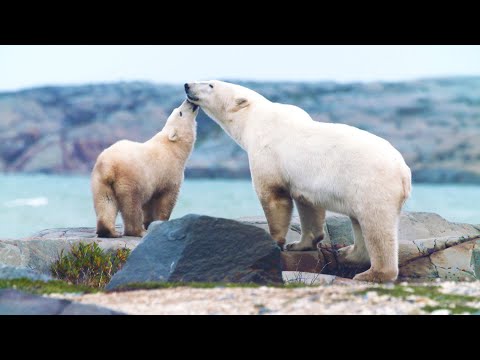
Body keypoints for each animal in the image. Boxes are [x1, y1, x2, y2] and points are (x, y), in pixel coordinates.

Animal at [91, 100, 198, 238]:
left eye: (176, 110)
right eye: (180, 112)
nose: (189, 101)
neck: (172, 147)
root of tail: (109, 166)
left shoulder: (153, 181)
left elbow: (149, 203)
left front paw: (150, 223)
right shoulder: (169, 172)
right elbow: (166, 199)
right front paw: (160, 223)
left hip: (100, 181)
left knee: (106, 201)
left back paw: (109, 232)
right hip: (130, 178)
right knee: (132, 205)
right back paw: (138, 231)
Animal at [186, 80, 410, 282]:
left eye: (211, 84)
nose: (187, 85)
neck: (255, 119)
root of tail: (404, 171)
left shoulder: (267, 153)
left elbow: (273, 195)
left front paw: (275, 241)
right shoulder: (304, 181)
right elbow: (308, 205)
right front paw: (300, 244)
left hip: (370, 183)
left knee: (376, 226)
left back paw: (372, 274)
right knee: (359, 222)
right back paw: (347, 253)